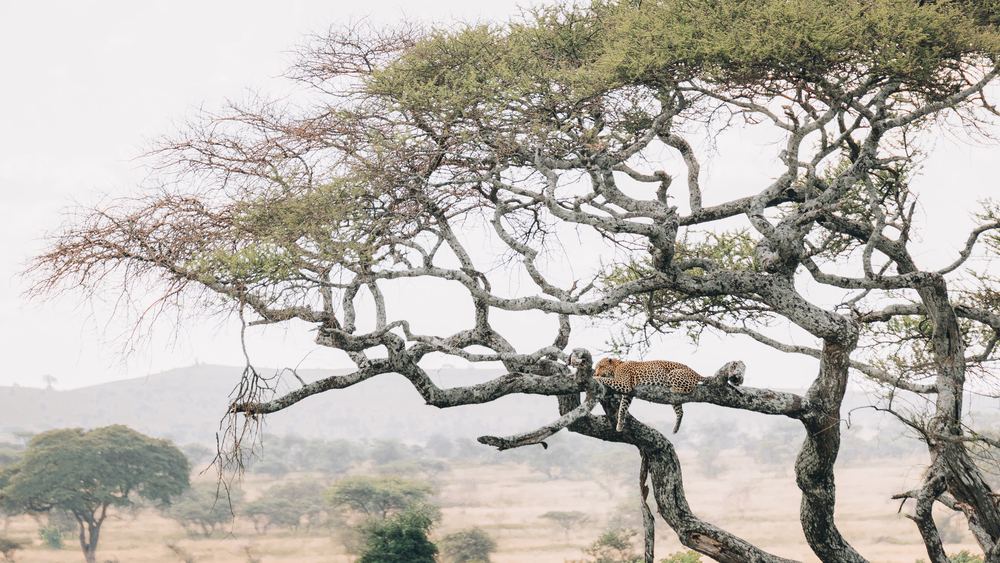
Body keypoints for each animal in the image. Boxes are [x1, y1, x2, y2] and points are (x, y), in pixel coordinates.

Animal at [592, 357, 745, 434]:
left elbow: (608, 380)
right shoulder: (628, 393)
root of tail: (695, 372)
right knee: (680, 411)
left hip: (673, 375)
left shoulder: (624, 384)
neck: (617, 366)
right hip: (675, 401)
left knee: (689, 388)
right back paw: (676, 428)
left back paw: (674, 388)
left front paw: (596, 378)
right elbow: (622, 408)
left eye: (600, 366)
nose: (595, 372)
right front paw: (619, 425)